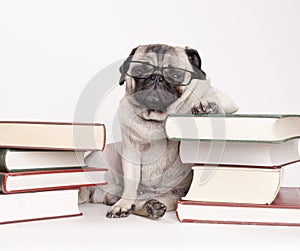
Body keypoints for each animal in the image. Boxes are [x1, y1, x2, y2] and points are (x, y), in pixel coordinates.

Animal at [78, 44, 238, 219]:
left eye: (175, 75)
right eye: (139, 71)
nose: (156, 77)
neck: (157, 118)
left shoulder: (226, 100)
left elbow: (215, 100)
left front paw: (206, 105)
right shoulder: (131, 151)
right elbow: (131, 181)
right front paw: (123, 204)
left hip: (174, 196)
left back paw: (151, 206)